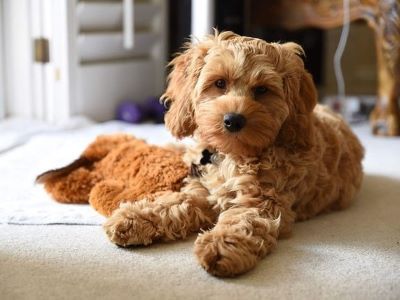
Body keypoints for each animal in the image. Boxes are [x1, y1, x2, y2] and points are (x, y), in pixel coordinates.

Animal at [103, 31, 366, 278]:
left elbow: (240, 221)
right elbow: (175, 202)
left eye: (262, 90)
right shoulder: (202, 190)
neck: (231, 155)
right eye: (219, 83)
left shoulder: (262, 202)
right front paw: (135, 217)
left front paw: (220, 246)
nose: (233, 120)